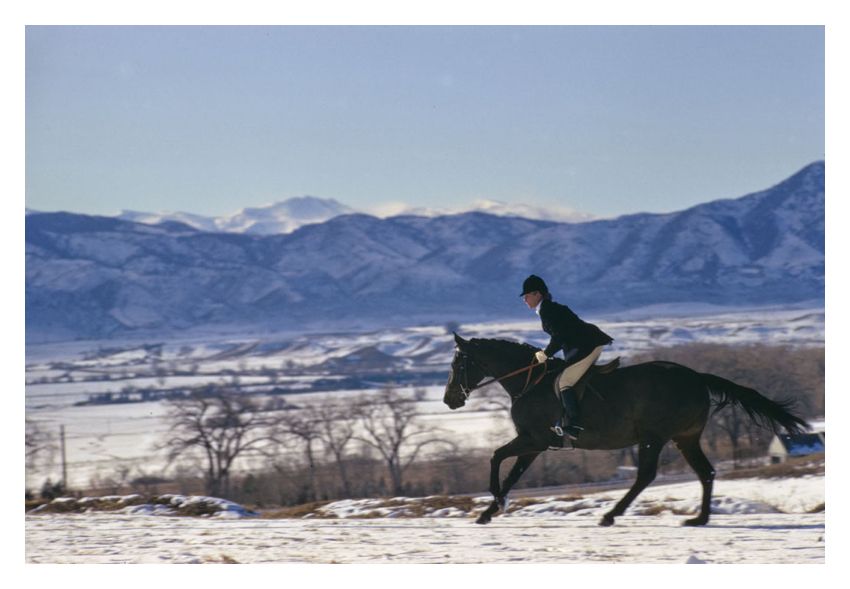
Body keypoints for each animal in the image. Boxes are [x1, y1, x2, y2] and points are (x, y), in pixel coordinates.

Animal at [443, 333, 809, 527]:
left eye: (458, 363)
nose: (449, 400)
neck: (528, 382)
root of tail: (696, 377)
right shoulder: (535, 445)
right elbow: (511, 474)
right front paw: (490, 511)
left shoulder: (534, 440)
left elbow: (496, 459)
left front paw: (494, 504)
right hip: (685, 438)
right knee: (705, 472)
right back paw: (699, 519)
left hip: (654, 437)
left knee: (646, 475)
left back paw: (610, 514)